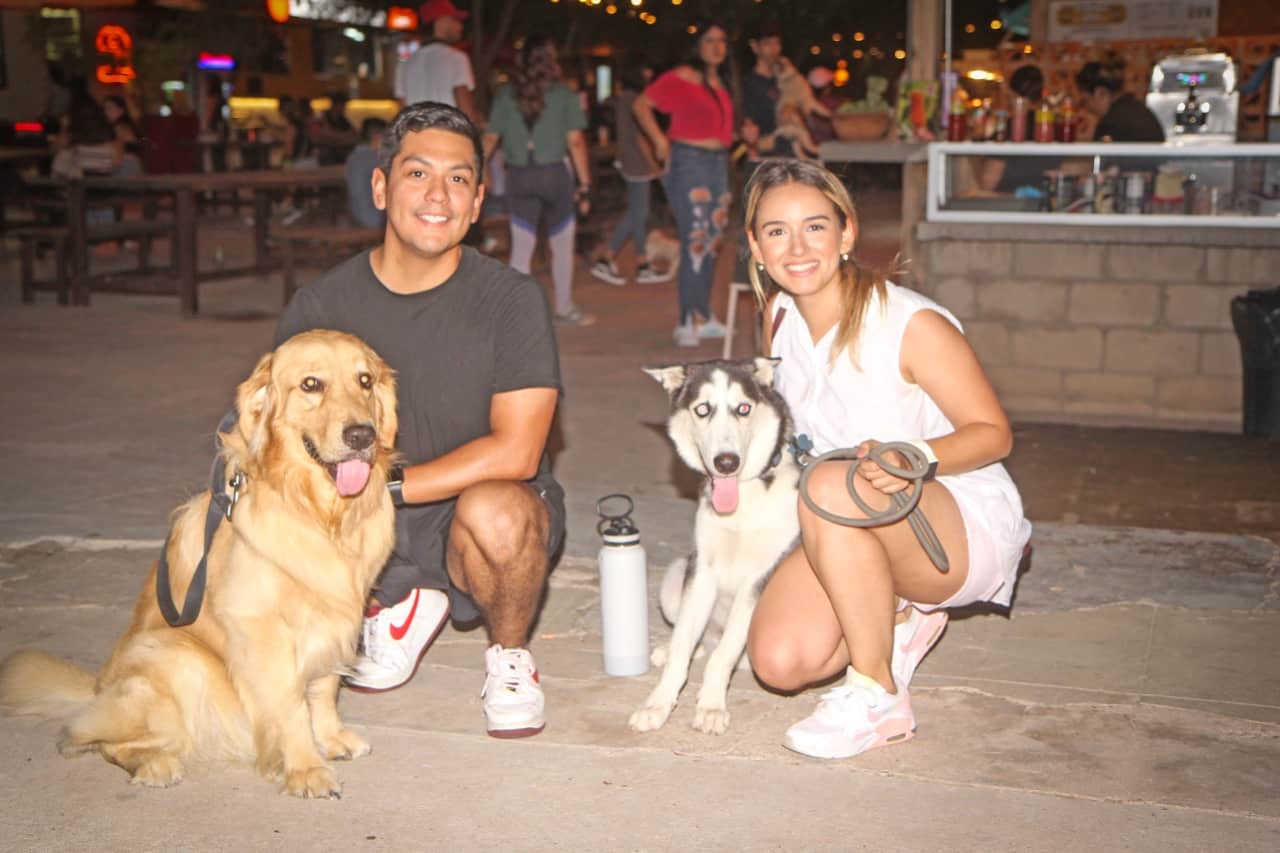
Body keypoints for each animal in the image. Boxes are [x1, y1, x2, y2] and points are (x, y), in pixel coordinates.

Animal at [632, 356, 798, 732]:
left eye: (743, 408)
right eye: (703, 409)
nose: (726, 462)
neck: (744, 499)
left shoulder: (757, 581)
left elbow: (723, 656)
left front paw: (710, 706)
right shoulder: (702, 572)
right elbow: (682, 647)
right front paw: (658, 703)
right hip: (676, 577)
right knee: (692, 638)